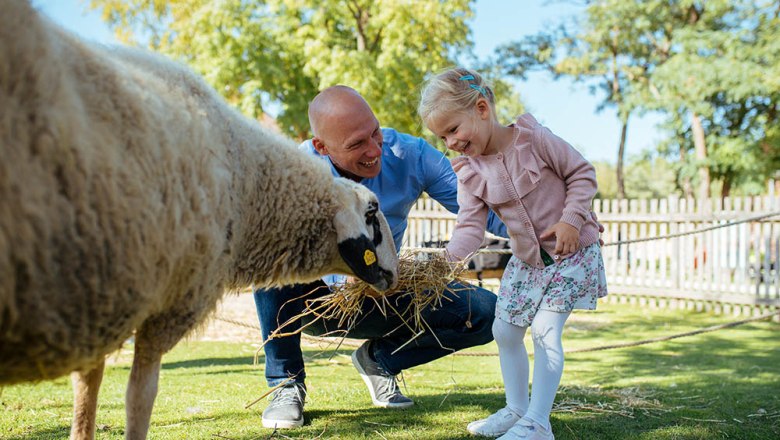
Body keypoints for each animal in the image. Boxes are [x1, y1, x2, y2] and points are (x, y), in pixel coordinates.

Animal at [0, 1, 400, 438]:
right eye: (372, 213)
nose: (395, 275)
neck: (249, 184)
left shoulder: (103, 300)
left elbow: (87, 387)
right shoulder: (169, 304)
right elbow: (139, 394)